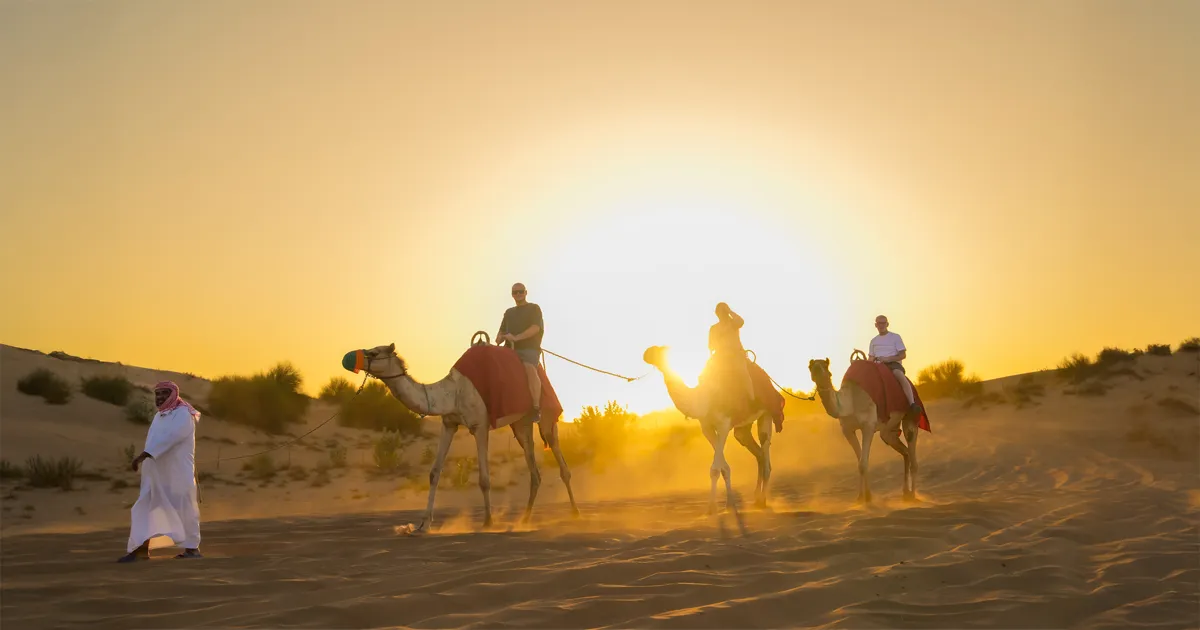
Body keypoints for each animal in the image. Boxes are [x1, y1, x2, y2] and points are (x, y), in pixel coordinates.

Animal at [351, 343, 579, 533]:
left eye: (374, 353)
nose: (354, 357)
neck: (452, 393)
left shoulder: (480, 426)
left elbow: (484, 479)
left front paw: (488, 521)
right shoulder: (449, 424)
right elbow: (434, 473)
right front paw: (423, 524)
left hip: (547, 418)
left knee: (559, 459)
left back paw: (575, 512)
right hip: (520, 424)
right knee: (534, 468)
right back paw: (524, 519)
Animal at [642, 346, 774, 513]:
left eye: (661, 351)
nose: (646, 353)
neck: (702, 398)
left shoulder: (723, 424)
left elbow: (715, 469)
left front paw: (711, 508)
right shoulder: (706, 428)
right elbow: (724, 468)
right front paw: (728, 504)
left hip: (767, 413)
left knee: (764, 446)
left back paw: (763, 500)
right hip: (742, 428)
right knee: (757, 453)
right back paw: (756, 498)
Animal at [807, 353, 920, 503]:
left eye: (826, 367)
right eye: (811, 367)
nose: (817, 369)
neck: (850, 401)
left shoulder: (868, 425)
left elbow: (863, 463)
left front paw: (867, 497)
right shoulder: (847, 430)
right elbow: (860, 462)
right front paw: (862, 497)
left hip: (910, 418)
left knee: (912, 451)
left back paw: (913, 495)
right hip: (887, 430)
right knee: (904, 451)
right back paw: (905, 493)